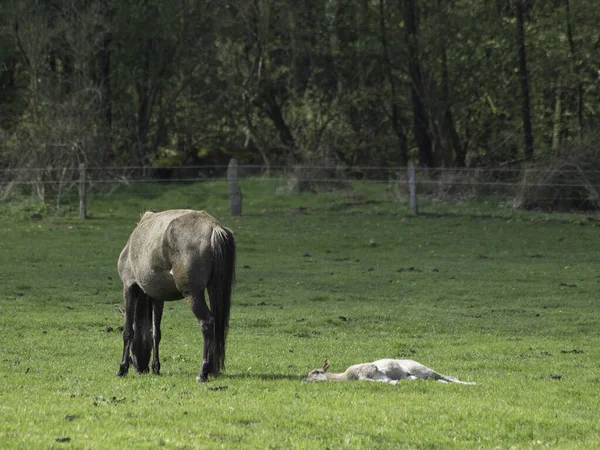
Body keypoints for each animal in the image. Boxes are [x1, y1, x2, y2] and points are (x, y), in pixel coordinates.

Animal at [117, 209, 237, 382]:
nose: (141, 368)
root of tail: (214, 228)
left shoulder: (129, 286)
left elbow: (128, 331)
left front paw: (122, 368)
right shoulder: (157, 296)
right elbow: (155, 332)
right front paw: (156, 367)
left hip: (192, 293)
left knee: (207, 322)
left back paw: (203, 372)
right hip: (214, 287)